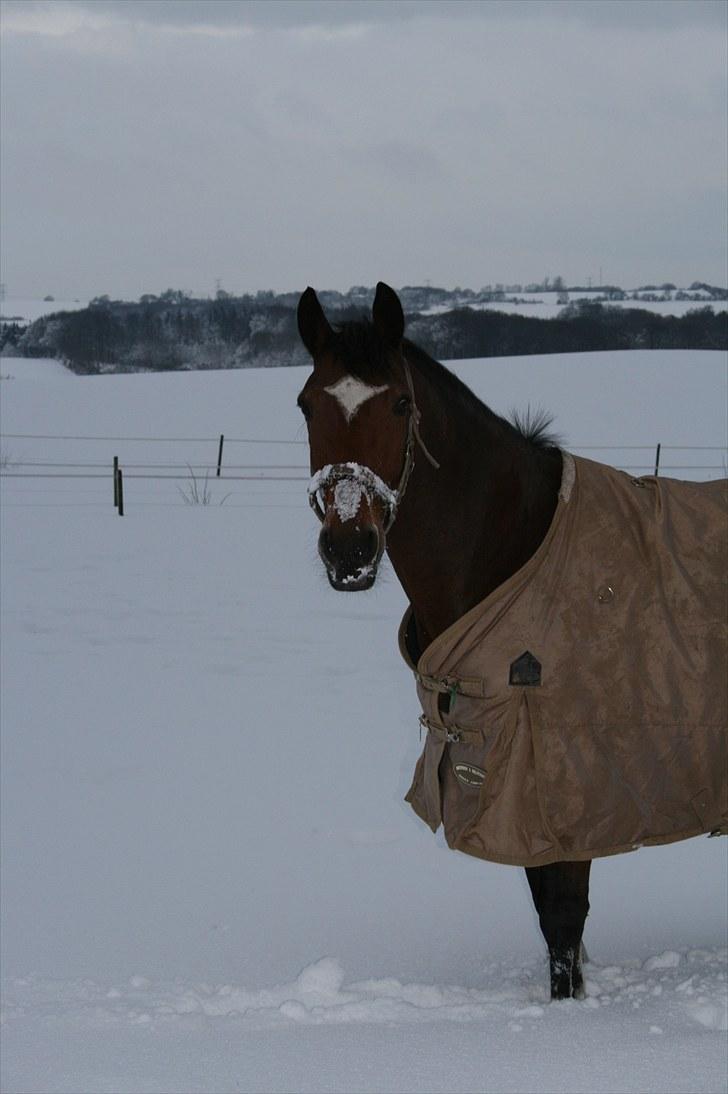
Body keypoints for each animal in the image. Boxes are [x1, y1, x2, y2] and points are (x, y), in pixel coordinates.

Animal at [293, 280, 722, 1002]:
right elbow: (548, 916)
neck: (513, 544)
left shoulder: (566, 782)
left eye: (400, 402)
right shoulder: (508, 784)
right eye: (306, 404)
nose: (349, 550)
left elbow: (563, 918)